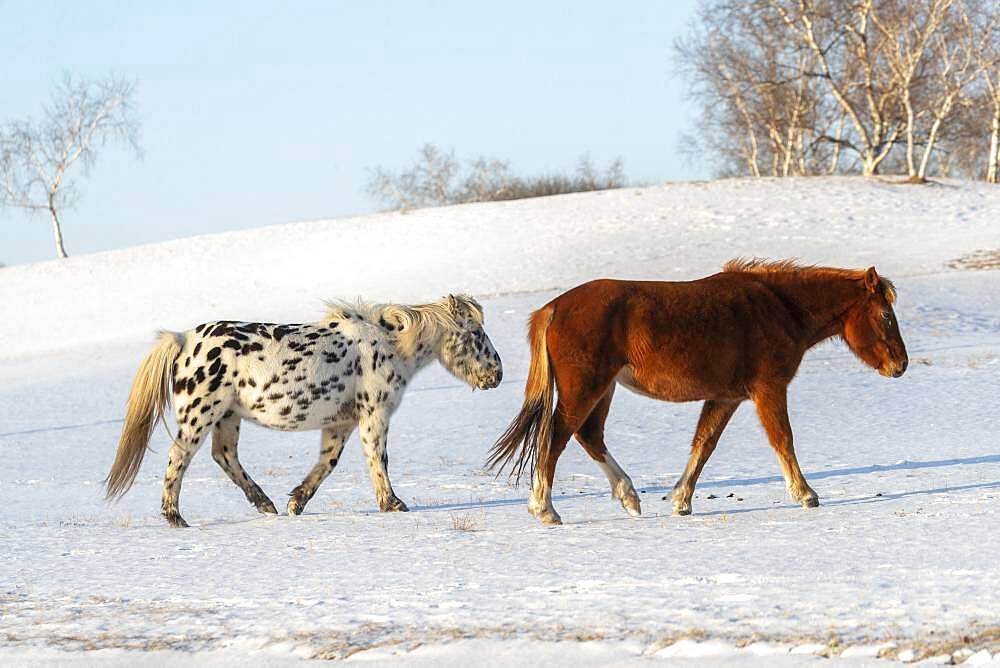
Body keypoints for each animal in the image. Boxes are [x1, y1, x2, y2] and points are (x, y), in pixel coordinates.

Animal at [105, 294, 504, 528]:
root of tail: (184, 338)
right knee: (180, 457)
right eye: (475, 333)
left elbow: (327, 463)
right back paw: (175, 517)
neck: (389, 344)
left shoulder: (341, 423)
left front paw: (296, 502)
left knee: (225, 456)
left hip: (227, 417)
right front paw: (393, 504)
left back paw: (265, 504)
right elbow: (378, 458)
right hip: (200, 415)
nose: (496, 374)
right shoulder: (374, 415)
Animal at [488, 260, 912, 528]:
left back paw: (629, 497)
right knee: (556, 439)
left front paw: (681, 500)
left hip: (601, 390)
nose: (901, 365)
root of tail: (552, 309)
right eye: (885, 316)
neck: (779, 308)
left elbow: (703, 445)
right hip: (585, 389)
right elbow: (783, 440)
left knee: (589, 436)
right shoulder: (769, 390)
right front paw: (806, 494)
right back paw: (545, 509)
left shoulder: (726, 398)